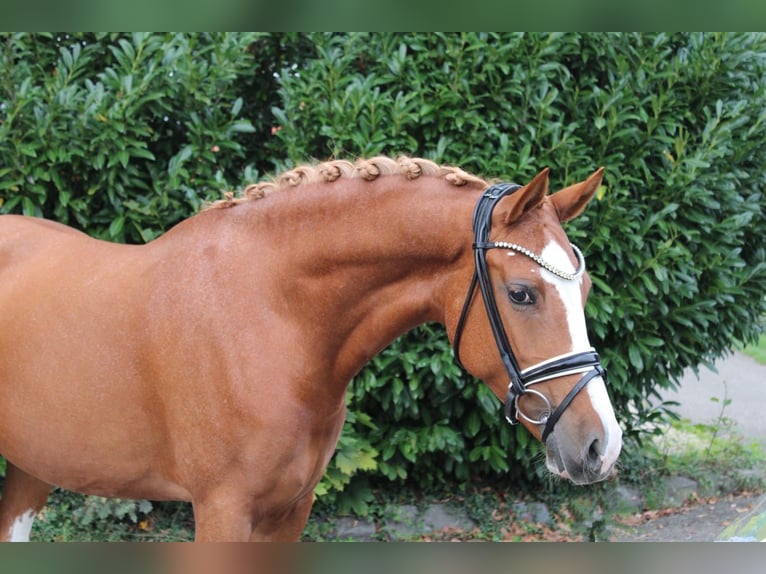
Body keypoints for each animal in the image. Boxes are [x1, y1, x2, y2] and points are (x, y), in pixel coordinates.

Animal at [0, 156, 622, 541]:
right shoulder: (222, 510)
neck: (272, 316)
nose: (602, 444)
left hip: (32, 466)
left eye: (588, 288)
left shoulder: (291, 509)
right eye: (521, 293)